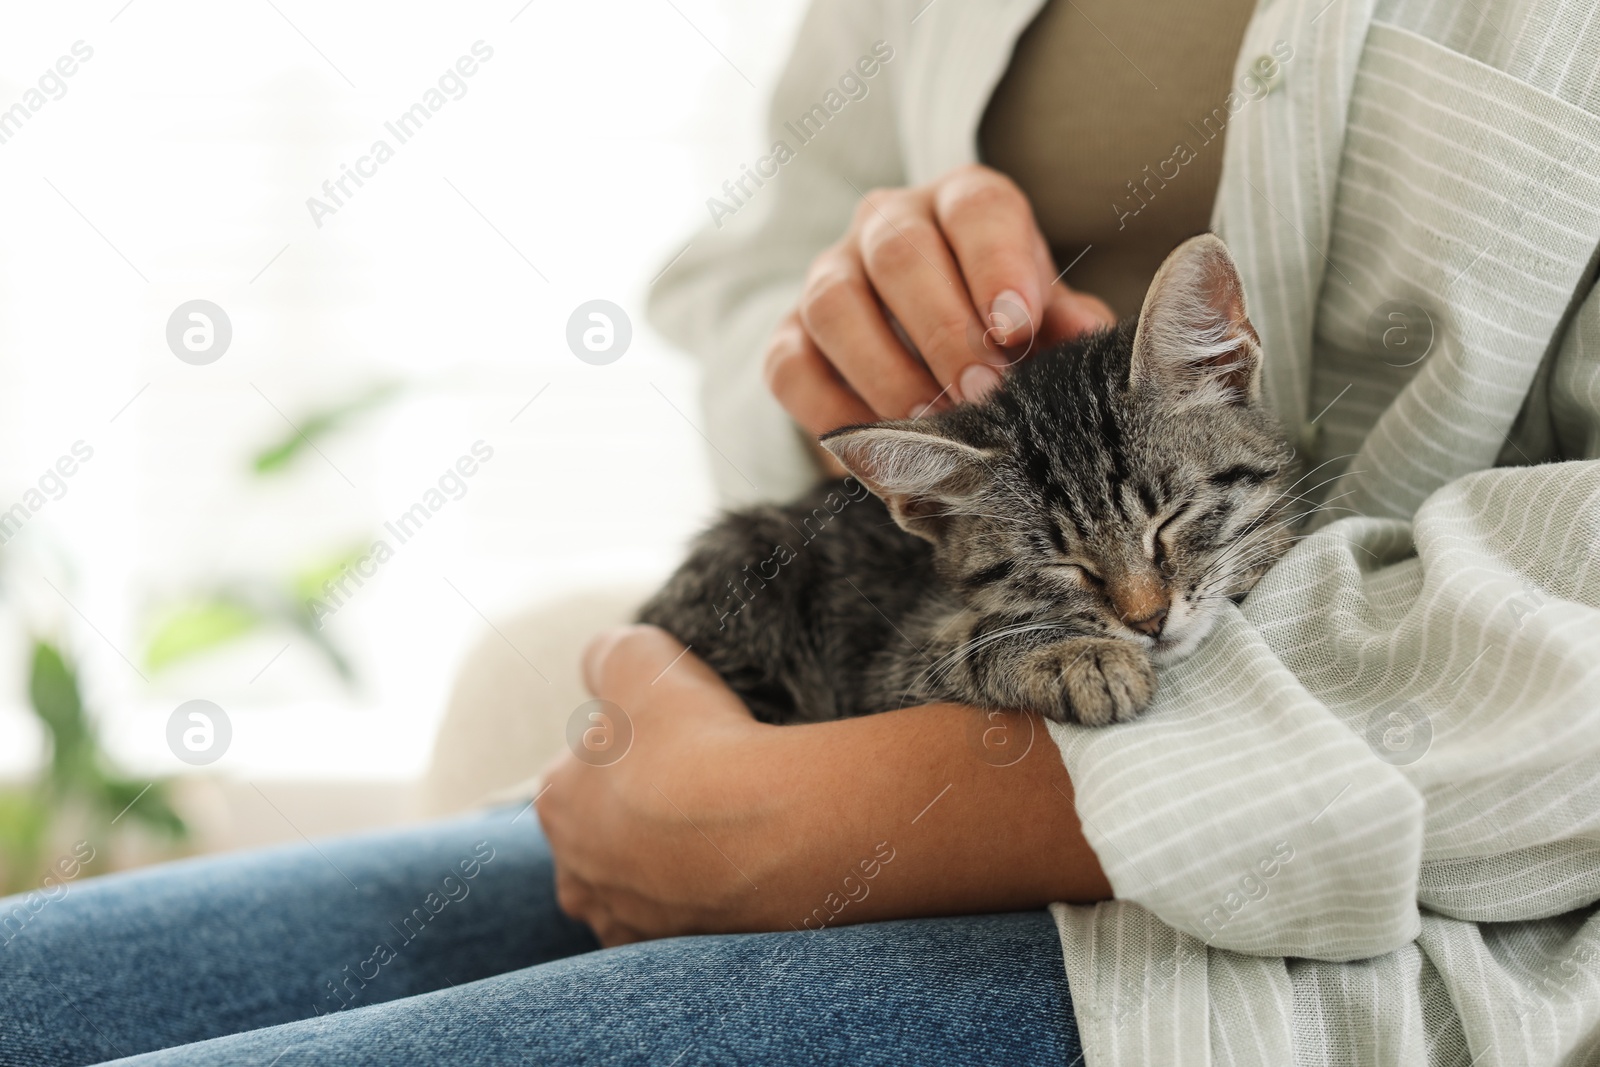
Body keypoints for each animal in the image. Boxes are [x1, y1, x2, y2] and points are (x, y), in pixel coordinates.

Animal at [636, 233, 1299, 726]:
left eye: (1171, 520)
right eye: (1064, 565)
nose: (1149, 621)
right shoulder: (883, 673)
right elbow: (962, 644)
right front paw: (1072, 657)